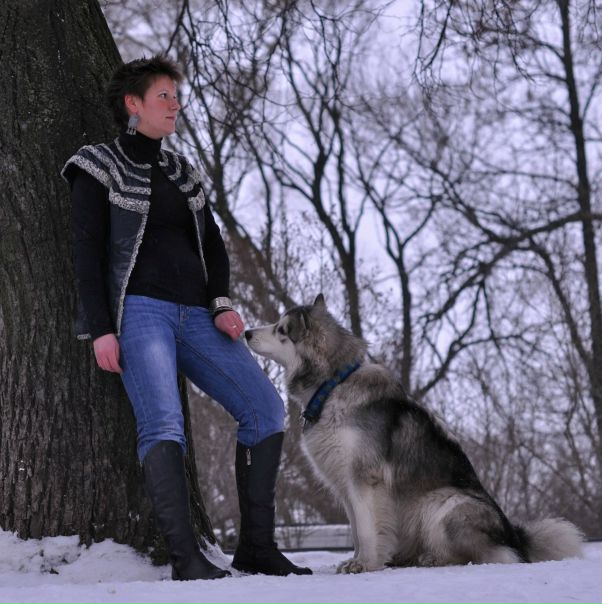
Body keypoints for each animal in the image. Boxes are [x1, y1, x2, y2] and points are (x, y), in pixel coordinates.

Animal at [245, 294, 583, 573]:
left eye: (281, 330)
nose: (246, 332)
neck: (333, 385)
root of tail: (514, 535)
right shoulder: (345, 483)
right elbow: (356, 529)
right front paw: (359, 559)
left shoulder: (364, 478)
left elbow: (366, 529)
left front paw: (365, 564)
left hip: (444, 504)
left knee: (489, 556)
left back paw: (431, 558)